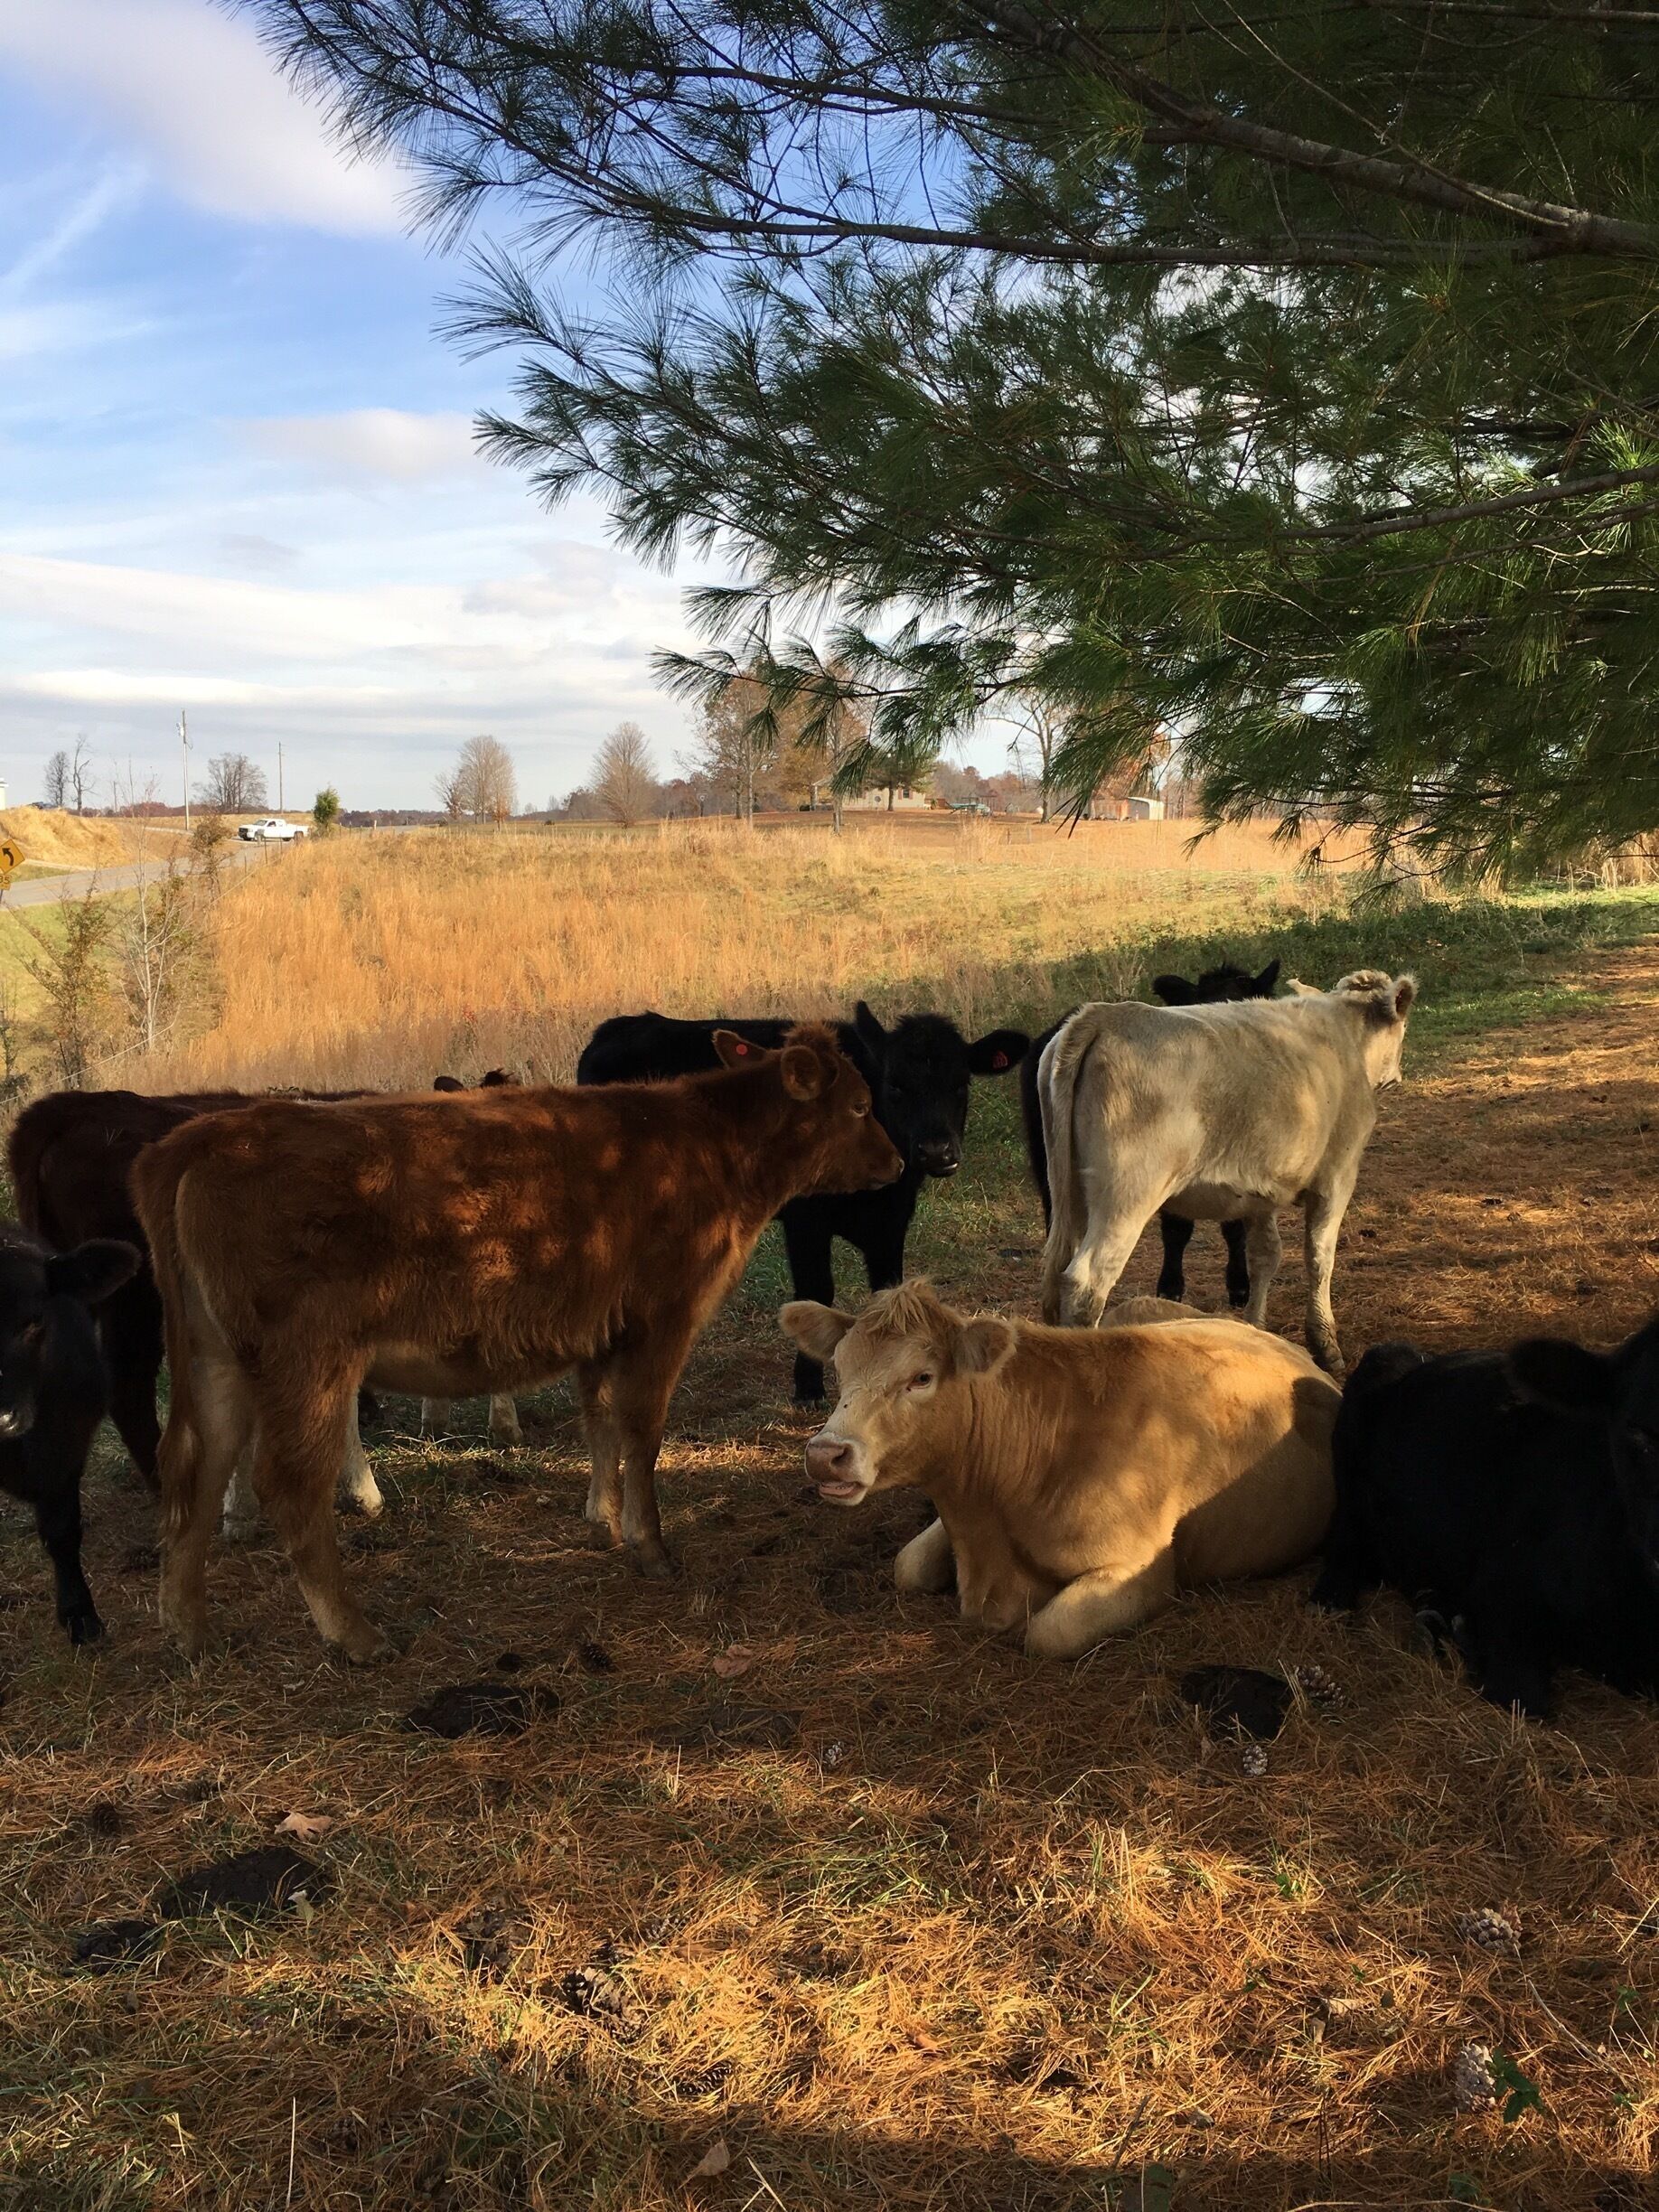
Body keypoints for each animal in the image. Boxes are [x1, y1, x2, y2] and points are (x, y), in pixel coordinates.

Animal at [132, 1028, 901, 1663]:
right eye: (862, 1105)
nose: (897, 1162)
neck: (707, 1144)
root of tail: (204, 1135)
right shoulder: (663, 1317)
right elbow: (641, 1432)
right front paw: (651, 1546)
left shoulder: (602, 1329)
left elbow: (599, 1425)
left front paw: (604, 1520)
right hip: (307, 1362)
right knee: (289, 1487)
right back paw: (355, 1634)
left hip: (214, 1360)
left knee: (193, 1473)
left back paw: (189, 1630)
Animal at [576, 1002, 1030, 1401]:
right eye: (894, 1085)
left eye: (962, 1084)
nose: (937, 1152)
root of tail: (616, 1028)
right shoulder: (805, 1222)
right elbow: (817, 1291)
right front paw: (809, 1386)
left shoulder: (892, 1220)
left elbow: (889, 1290)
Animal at [781, 1281, 1337, 1658]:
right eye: (839, 1368)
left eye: (921, 1377)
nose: (824, 1454)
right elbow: (908, 1566)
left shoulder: (1142, 1569)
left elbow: (1049, 1633)